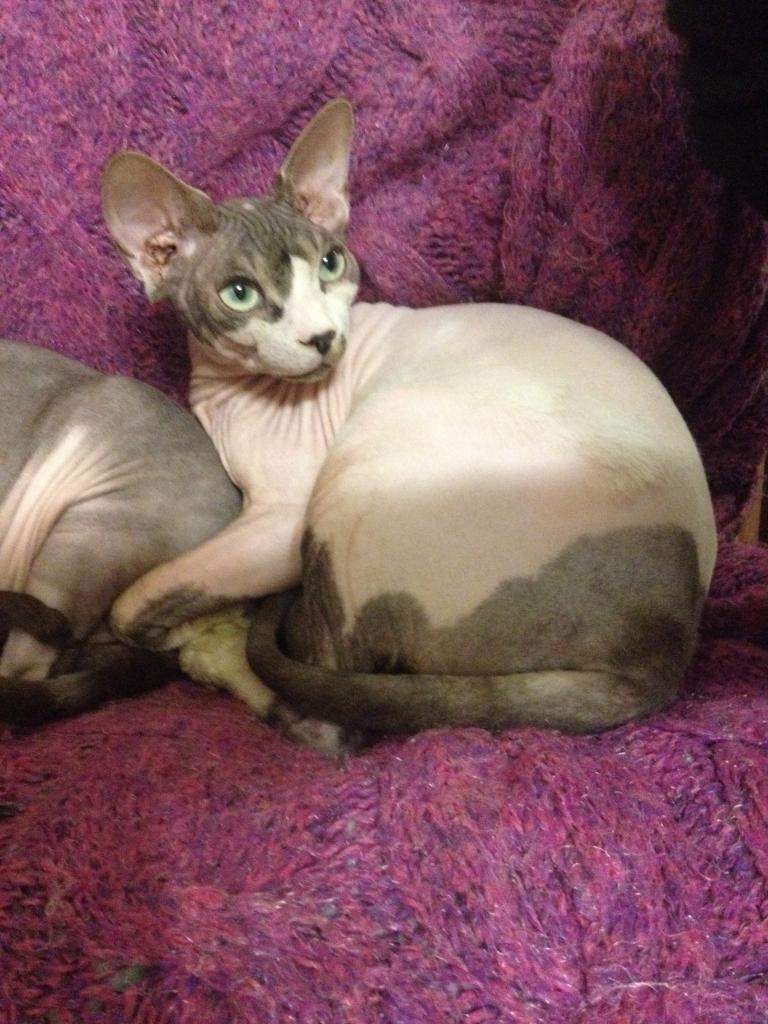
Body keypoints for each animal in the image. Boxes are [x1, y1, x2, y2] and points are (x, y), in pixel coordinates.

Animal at [101, 99, 717, 737]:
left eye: (330, 264)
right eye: (240, 293)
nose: (322, 338)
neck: (227, 389)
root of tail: (660, 655)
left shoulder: (280, 520)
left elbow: (136, 598)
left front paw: (185, 627)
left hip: (359, 467)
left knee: (331, 712)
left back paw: (217, 651)